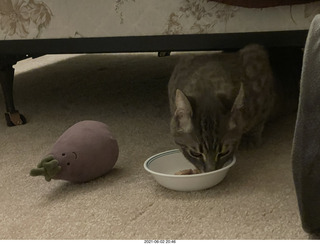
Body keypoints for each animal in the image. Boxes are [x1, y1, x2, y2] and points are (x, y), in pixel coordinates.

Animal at [169, 44, 276, 173]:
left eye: (224, 152)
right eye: (195, 153)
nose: (211, 170)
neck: (207, 87)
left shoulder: (263, 94)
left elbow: (259, 121)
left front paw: (251, 138)